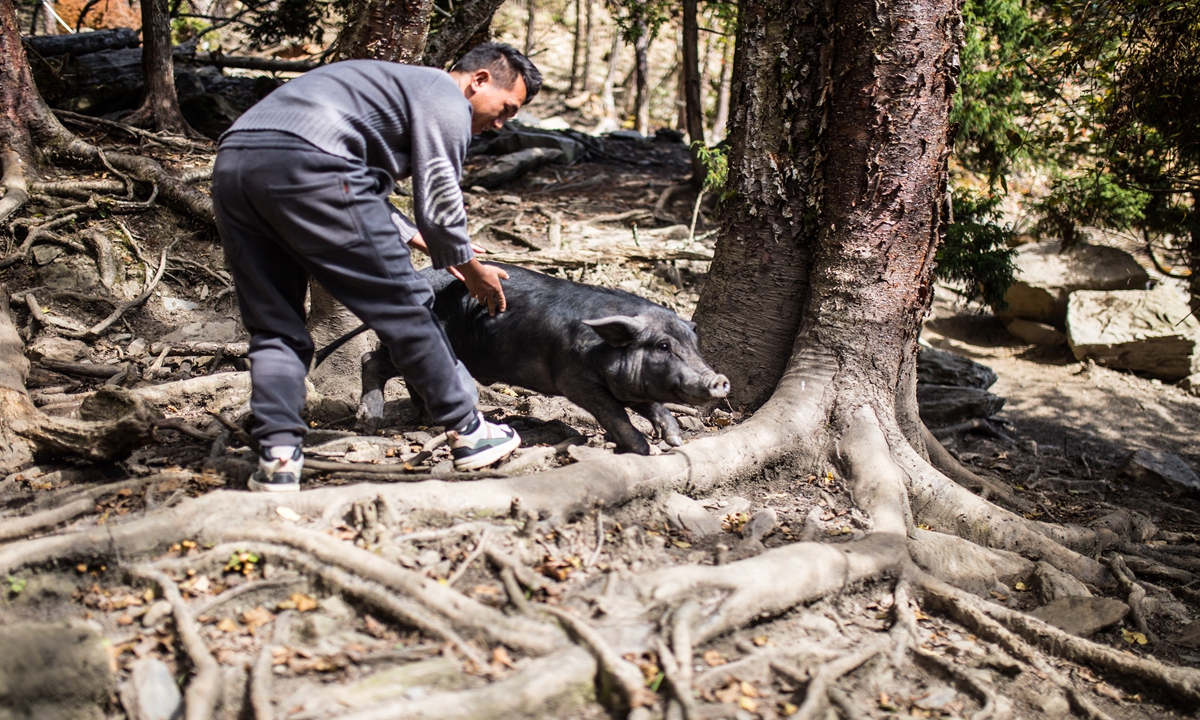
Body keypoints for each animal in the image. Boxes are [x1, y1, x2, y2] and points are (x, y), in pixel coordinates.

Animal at [317, 262, 730, 455]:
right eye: (662, 347)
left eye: (693, 343)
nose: (720, 379)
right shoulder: (575, 381)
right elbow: (615, 413)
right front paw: (642, 449)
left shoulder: (630, 385)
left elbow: (652, 404)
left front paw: (675, 440)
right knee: (370, 359)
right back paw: (370, 423)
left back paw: (425, 420)